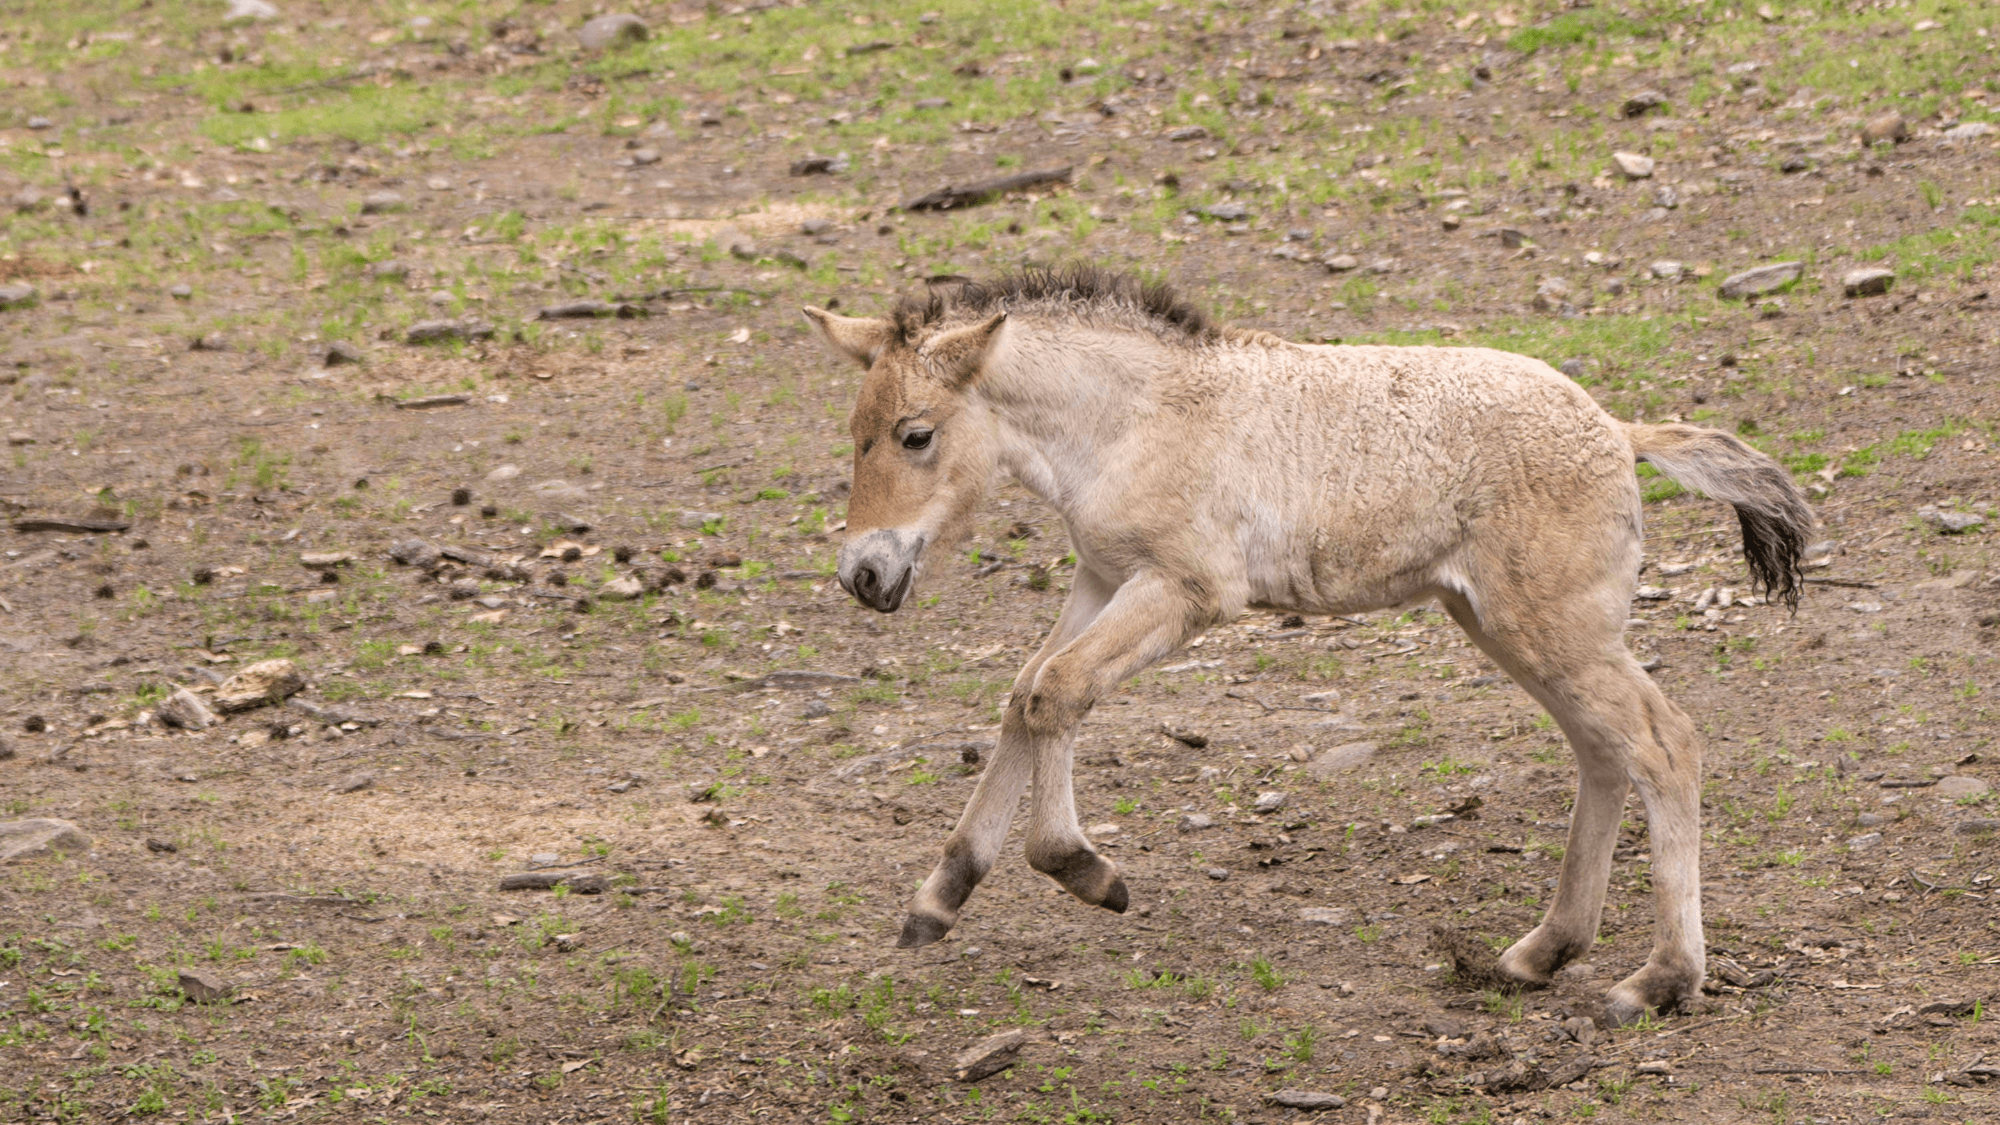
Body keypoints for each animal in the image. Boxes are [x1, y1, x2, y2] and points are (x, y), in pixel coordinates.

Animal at [803, 265, 1813, 1024]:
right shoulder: (1101, 576)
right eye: (852, 434)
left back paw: (1658, 980)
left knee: (1664, 743)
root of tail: (1619, 430)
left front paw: (1087, 871)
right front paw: (938, 898)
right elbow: (1027, 692)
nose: (864, 574)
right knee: (1604, 753)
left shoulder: (1185, 590)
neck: (1136, 416)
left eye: (916, 434)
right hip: (1506, 625)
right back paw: (1540, 951)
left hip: (1551, 628)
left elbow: (1057, 690)